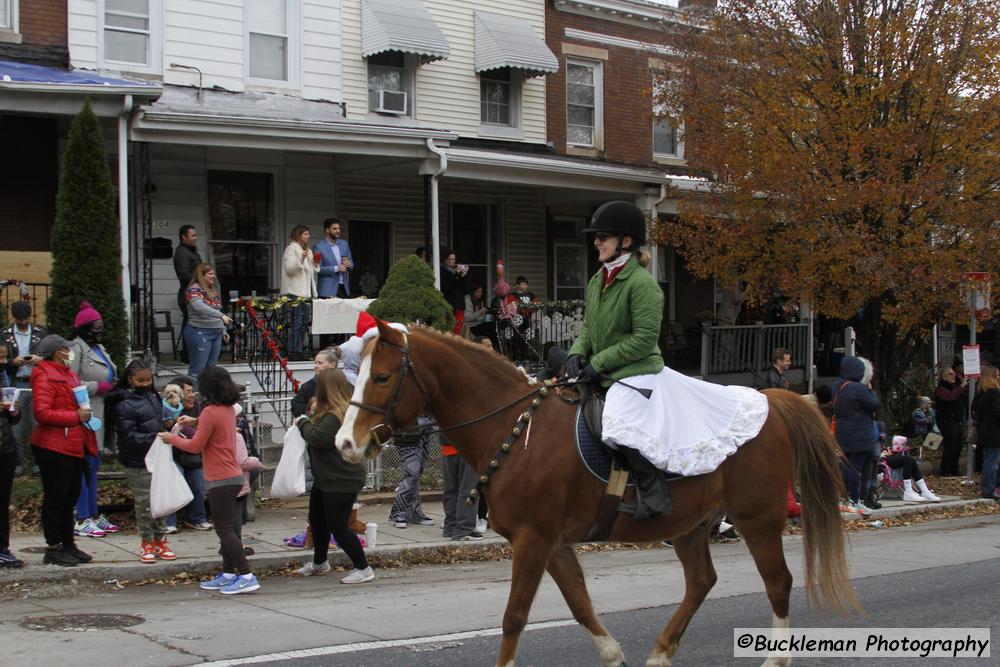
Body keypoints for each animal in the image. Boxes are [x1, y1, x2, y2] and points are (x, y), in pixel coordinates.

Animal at [336, 320, 860, 664]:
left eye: (381, 376)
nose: (346, 443)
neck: (513, 428)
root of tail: (770, 400)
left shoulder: (534, 539)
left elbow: (514, 617)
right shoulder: (552, 543)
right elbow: (580, 605)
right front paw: (613, 654)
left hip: (757, 519)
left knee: (778, 583)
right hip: (692, 526)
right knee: (701, 581)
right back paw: (661, 652)